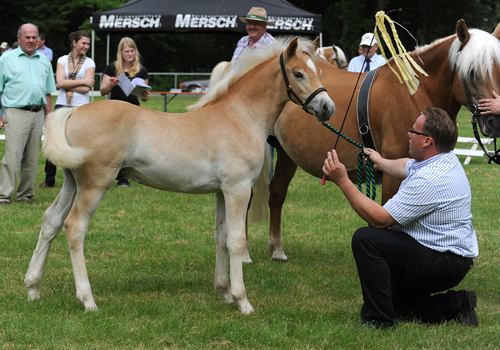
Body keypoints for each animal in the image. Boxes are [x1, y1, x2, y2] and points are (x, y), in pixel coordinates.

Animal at [24, 37, 336, 314]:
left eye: (320, 71)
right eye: (298, 73)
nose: (327, 108)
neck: (241, 117)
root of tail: (73, 113)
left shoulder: (221, 192)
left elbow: (221, 237)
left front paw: (224, 293)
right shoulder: (237, 190)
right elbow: (236, 241)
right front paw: (243, 301)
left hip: (72, 182)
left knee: (51, 221)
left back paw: (32, 287)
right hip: (94, 184)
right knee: (75, 227)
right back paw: (88, 300)